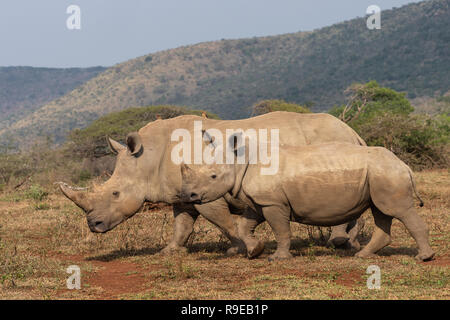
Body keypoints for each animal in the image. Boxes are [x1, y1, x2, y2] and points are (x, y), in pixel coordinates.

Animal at [61, 112, 368, 255]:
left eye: (115, 193)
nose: (93, 225)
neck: (148, 157)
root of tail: (353, 131)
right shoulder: (183, 194)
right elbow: (182, 225)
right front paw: (169, 251)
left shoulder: (208, 192)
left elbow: (223, 222)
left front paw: (242, 249)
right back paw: (347, 244)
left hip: (331, 142)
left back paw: (339, 242)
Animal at [180, 134, 436, 262]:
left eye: (213, 176)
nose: (188, 195)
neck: (240, 161)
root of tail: (404, 165)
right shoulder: (260, 202)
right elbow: (244, 226)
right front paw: (255, 252)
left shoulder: (273, 203)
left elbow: (281, 230)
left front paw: (278, 258)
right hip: (380, 174)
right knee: (381, 212)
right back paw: (362, 256)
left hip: (387, 173)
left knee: (398, 211)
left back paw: (424, 258)